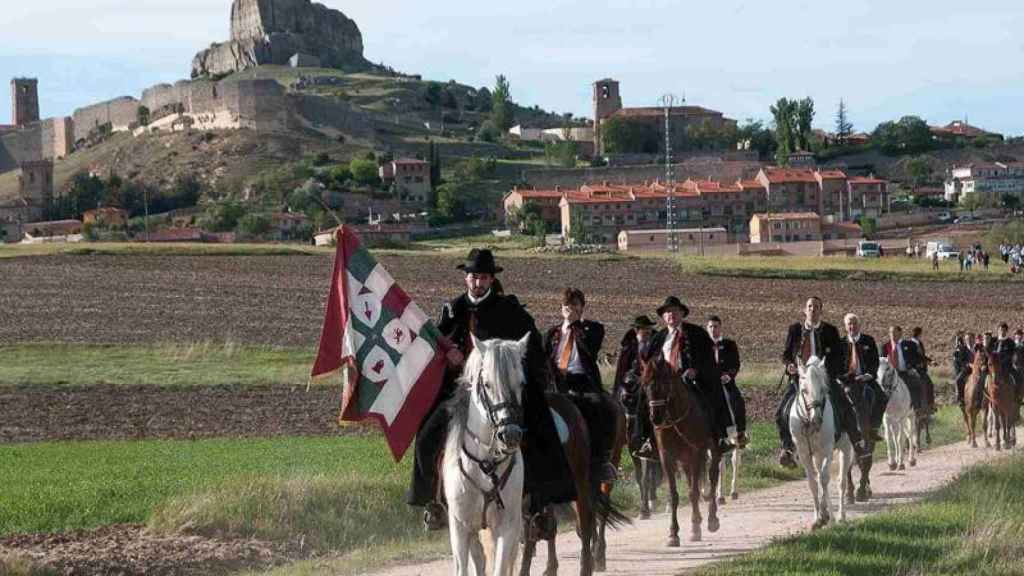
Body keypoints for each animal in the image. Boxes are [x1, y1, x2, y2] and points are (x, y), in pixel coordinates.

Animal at [444, 332, 532, 573]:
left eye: (521, 383)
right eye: (487, 384)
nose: (510, 434)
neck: (485, 465)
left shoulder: (507, 527)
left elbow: (501, 568)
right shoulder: (460, 528)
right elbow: (463, 568)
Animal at [638, 358, 720, 541]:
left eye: (664, 384)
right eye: (644, 384)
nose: (656, 418)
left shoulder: (696, 452)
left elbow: (694, 492)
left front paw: (695, 529)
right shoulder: (667, 457)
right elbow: (674, 494)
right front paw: (673, 533)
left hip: (711, 450)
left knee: (712, 479)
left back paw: (712, 520)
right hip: (685, 460)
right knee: (692, 480)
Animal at [786, 354, 851, 528]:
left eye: (823, 390)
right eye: (804, 390)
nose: (816, 419)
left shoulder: (827, 450)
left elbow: (824, 479)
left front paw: (829, 517)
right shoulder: (804, 454)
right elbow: (813, 483)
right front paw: (817, 519)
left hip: (845, 448)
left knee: (841, 482)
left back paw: (840, 516)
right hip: (816, 455)